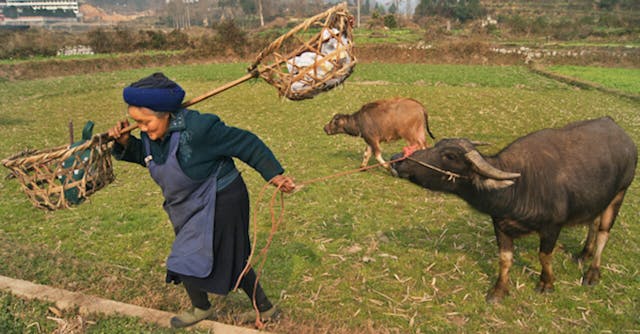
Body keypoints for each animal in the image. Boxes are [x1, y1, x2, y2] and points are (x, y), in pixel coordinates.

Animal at [390, 117, 636, 302]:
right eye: (437, 144)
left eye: (449, 156)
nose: (396, 158)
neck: (520, 186)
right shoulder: (500, 225)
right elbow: (505, 259)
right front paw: (499, 291)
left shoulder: (552, 227)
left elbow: (544, 256)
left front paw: (546, 283)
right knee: (593, 223)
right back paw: (584, 253)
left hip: (620, 193)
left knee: (603, 232)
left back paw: (592, 273)